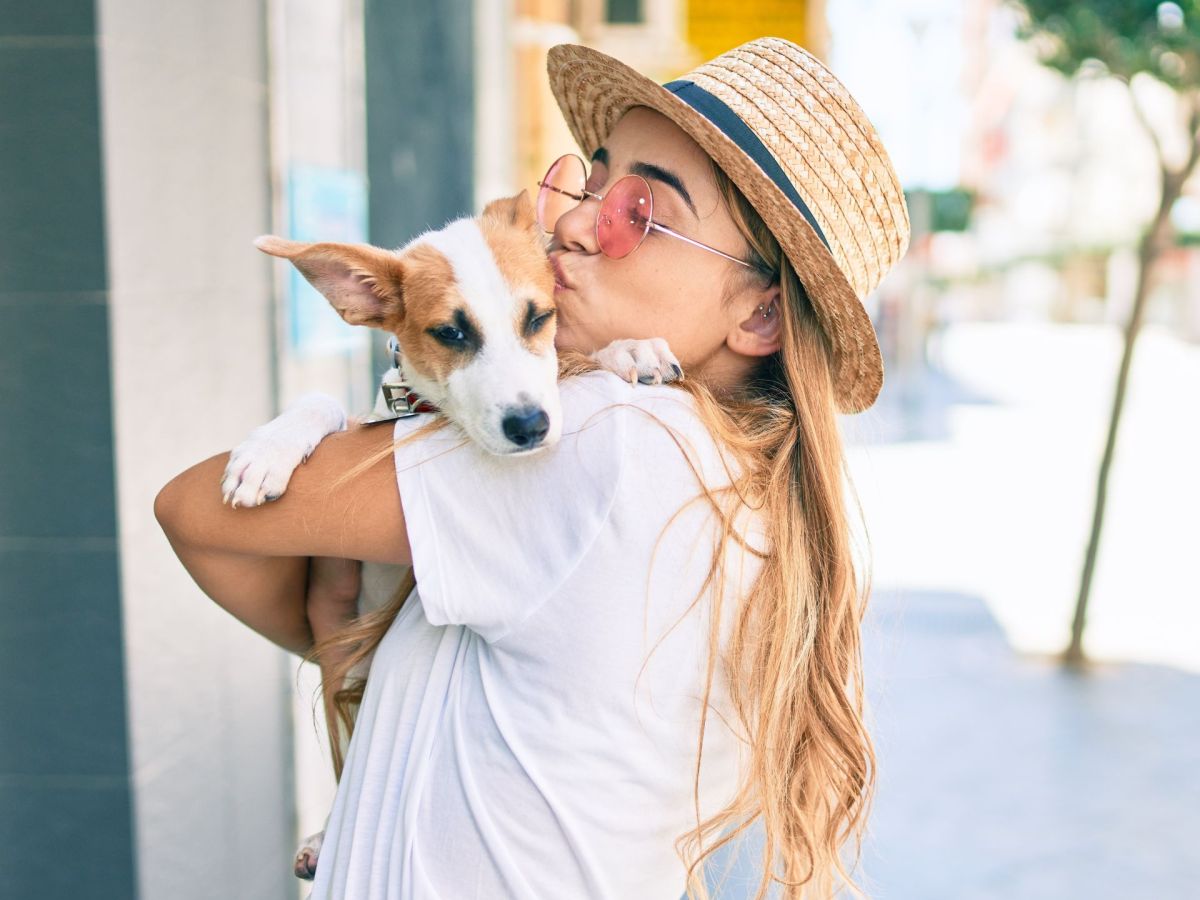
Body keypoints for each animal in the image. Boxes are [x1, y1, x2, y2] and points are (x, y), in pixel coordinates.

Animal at [219, 187, 681, 883]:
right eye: (452, 333)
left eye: (539, 318)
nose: (530, 427)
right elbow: (324, 401)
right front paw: (266, 450)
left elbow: (567, 366)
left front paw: (627, 349)